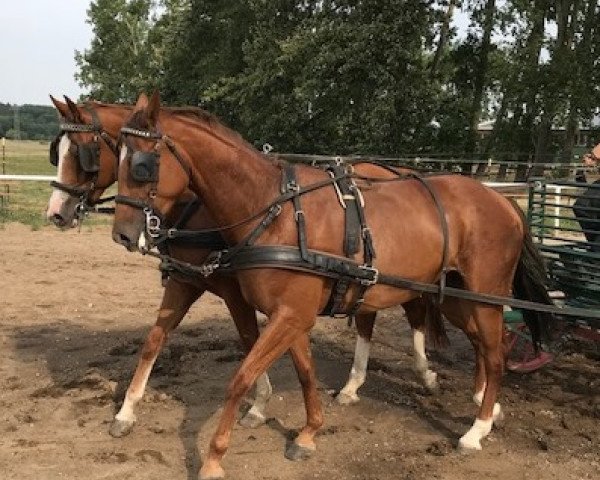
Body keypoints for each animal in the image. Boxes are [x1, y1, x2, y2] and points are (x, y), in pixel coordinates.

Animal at [45, 94, 440, 438]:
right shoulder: (185, 281)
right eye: (56, 152)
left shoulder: (235, 292)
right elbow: (154, 340)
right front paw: (126, 412)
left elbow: (249, 338)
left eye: (84, 153)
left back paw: (422, 373)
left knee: (413, 310)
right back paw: (354, 385)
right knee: (370, 316)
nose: (56, 213)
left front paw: (259, 404)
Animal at [112, 91, 552, 480]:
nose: (122, 234)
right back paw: (484, 405)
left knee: (494, 355)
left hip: (485, 295)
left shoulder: (289, 315)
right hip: (456, 297)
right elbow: (305, 372)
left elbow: (241, 378)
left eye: (142, 165)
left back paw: (477, 429)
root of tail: (503, 202)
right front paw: (308, 434)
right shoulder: (291, 315)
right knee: (486, 345)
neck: (275, 211)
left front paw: (214, 458)